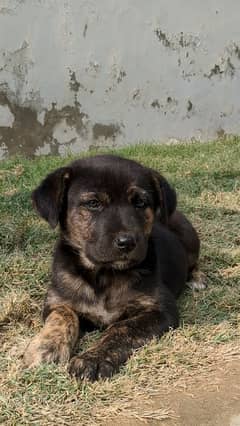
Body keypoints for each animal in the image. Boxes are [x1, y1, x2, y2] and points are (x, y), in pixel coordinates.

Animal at [23, 155, 205, 382]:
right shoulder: (56, 301)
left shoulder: (162, 310)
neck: (104, 275)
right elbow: (64, 316)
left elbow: (122, 327)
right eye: (93, 203)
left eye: (140, 202)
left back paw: (198, 278)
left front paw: (93, 358)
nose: (127, 243)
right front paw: (46, 347)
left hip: (190, 238)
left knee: (194, 261)